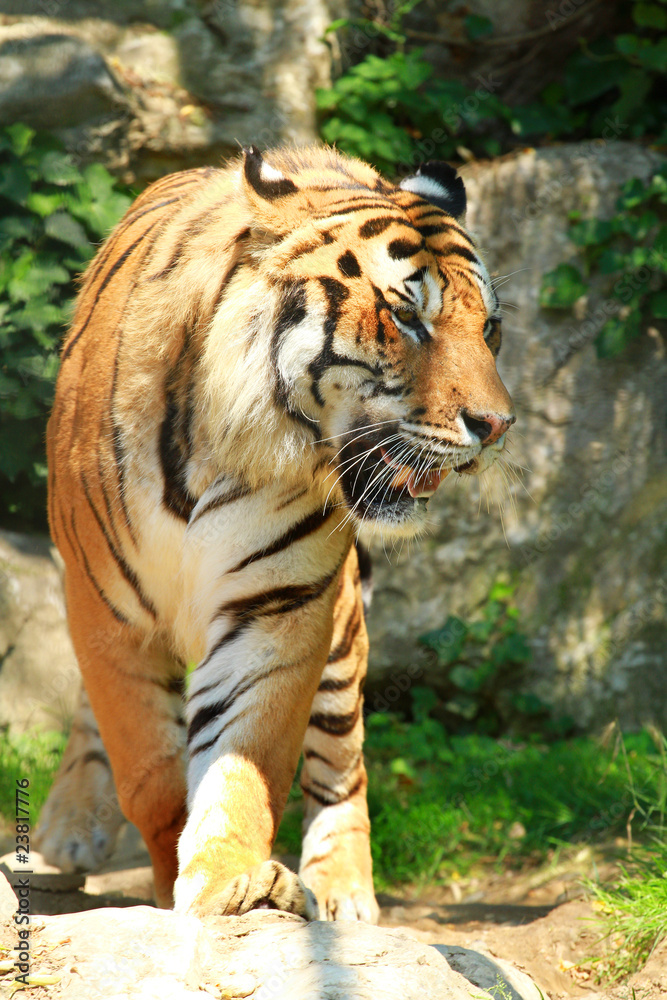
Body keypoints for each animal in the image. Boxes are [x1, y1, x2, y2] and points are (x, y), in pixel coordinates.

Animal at [38, 145, 515, 922]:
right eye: (406, 317)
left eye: (489, 329)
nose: (497, 425)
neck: (223, 436)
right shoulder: (106, 610)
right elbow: (149, 772)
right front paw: (168, 874)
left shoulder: (276, 607)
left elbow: (243, 763)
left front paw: (231, 881)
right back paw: (68, 827)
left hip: (341, 634)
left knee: (341, 764)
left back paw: (344, 893)